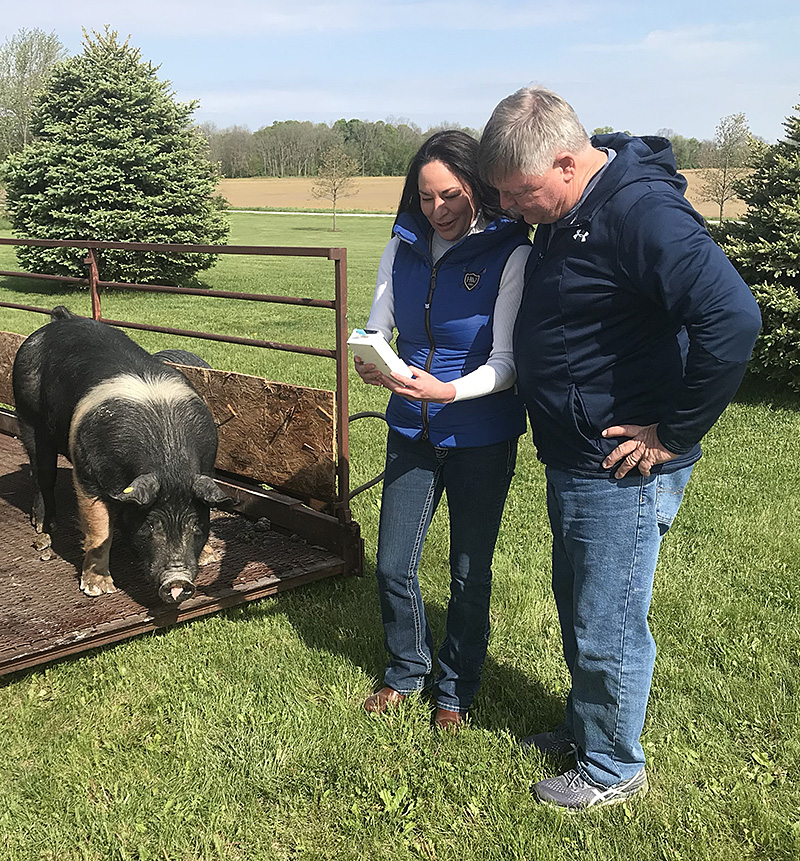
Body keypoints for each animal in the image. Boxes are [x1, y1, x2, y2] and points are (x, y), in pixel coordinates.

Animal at [12, 306, 231, 600]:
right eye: (150, 525)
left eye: (196, 526)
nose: (177, 581)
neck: (168, 458)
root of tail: (61, 320)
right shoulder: (87, 474)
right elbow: (98, 528)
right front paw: (97, 589)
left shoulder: (205, 468)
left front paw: (210, 558)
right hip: (28, 418)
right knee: (42, 473)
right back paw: (45, 527)